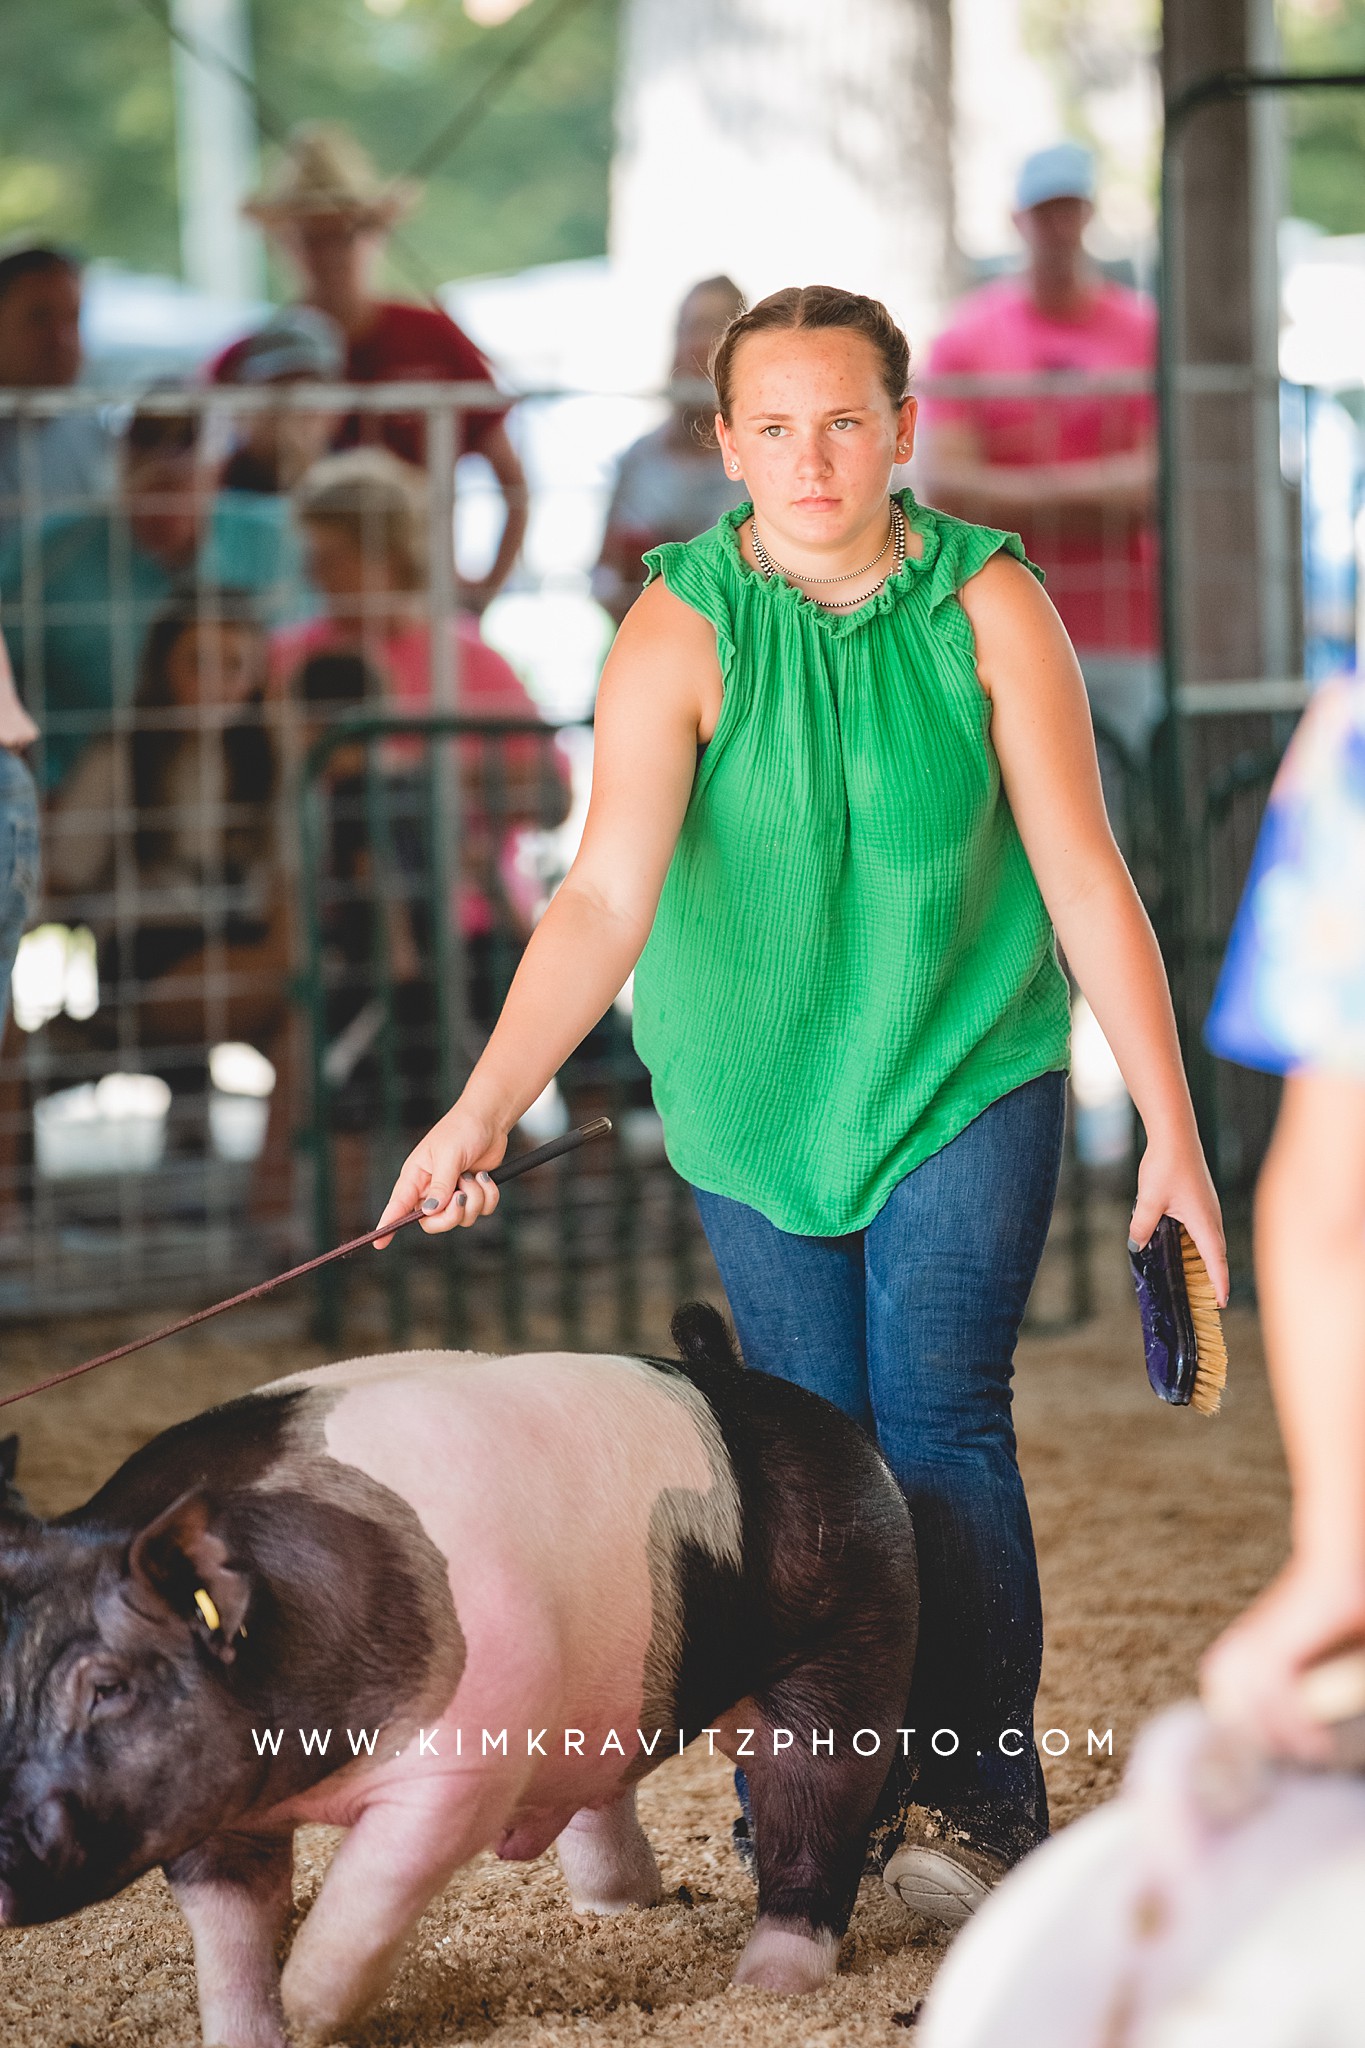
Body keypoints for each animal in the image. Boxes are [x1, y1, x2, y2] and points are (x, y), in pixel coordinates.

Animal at [2, 1310, 916, 2048]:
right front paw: (255, 2030)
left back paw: (765, 1987)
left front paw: (308, 2011)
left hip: (853, 1636)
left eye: (109, 1686)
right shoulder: (210, 1811)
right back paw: (619, 1905)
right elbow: (229, 1939)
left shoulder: (463, 1765)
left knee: (813, 1806)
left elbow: (366, 1893)